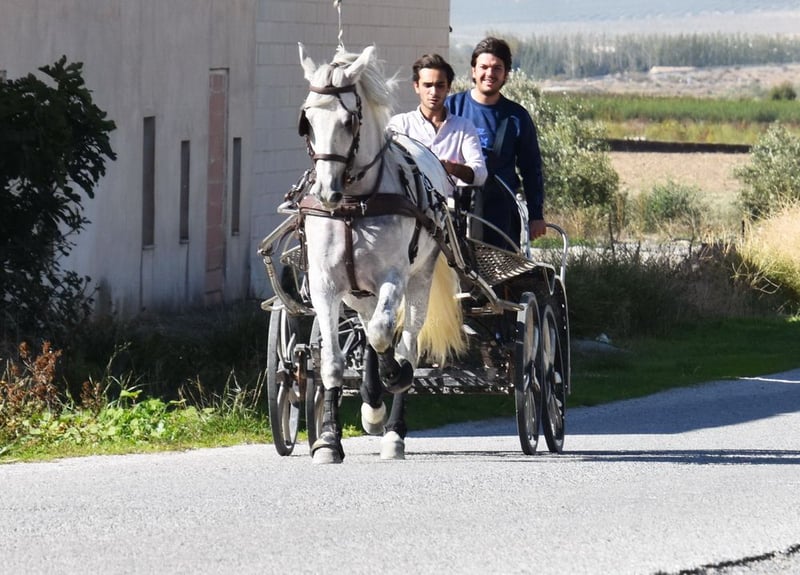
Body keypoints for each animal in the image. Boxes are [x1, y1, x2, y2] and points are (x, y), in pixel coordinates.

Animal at [297, 43, 465, 463]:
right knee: (369, 327)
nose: (326, 191)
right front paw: (328, 439)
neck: (353, 205)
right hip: (358, 293)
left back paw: (393, 430)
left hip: (419, 280)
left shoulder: (394, 277)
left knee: (404, 341)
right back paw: (373, 406)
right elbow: (333, 362)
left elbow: (383, 335)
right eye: (307, 120)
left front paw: (395, 376)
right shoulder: (325, 286)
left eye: (348, 120)